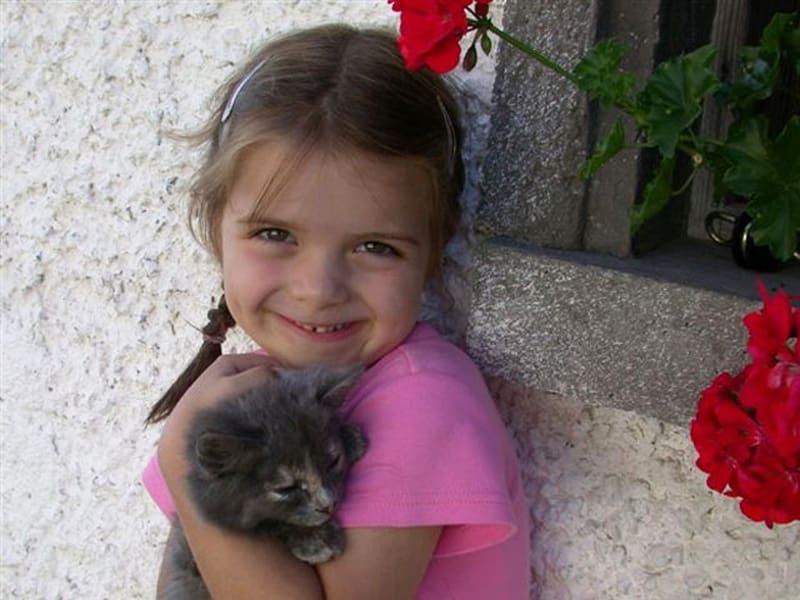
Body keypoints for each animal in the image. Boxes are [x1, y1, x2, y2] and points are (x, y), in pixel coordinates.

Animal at [159, 366, 367, 600]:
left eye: (333, 462)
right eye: (286, 488)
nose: (328, 505)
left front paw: (349, 436)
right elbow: (270, 524)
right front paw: (315, 537)